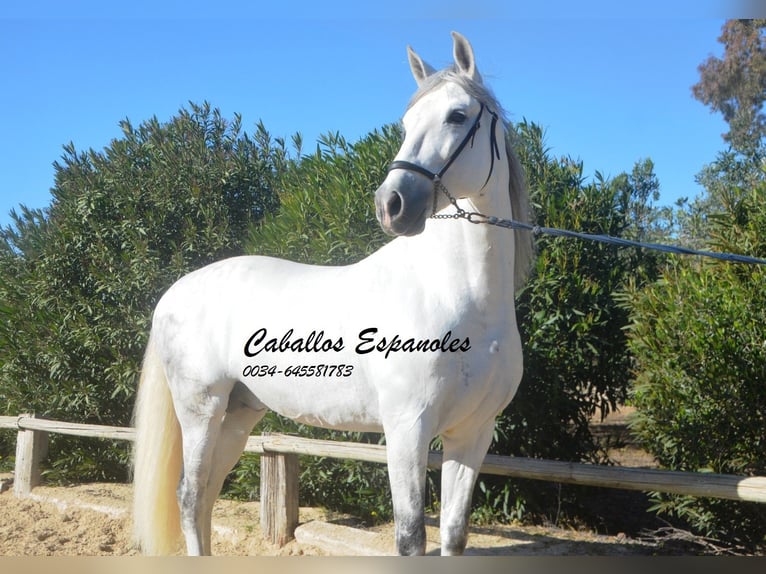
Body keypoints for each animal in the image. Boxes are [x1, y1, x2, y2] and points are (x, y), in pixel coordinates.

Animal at [132, 31, 536, 560]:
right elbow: (410, 537)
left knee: (205, 498)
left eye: (457, 115)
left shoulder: (472, 433)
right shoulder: (407, 430)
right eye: (406, 123)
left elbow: (453, 535)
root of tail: (173, 294)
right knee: (190, 494)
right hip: (201, 409)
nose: (391, 204)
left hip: (239, 413)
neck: (458, 297)